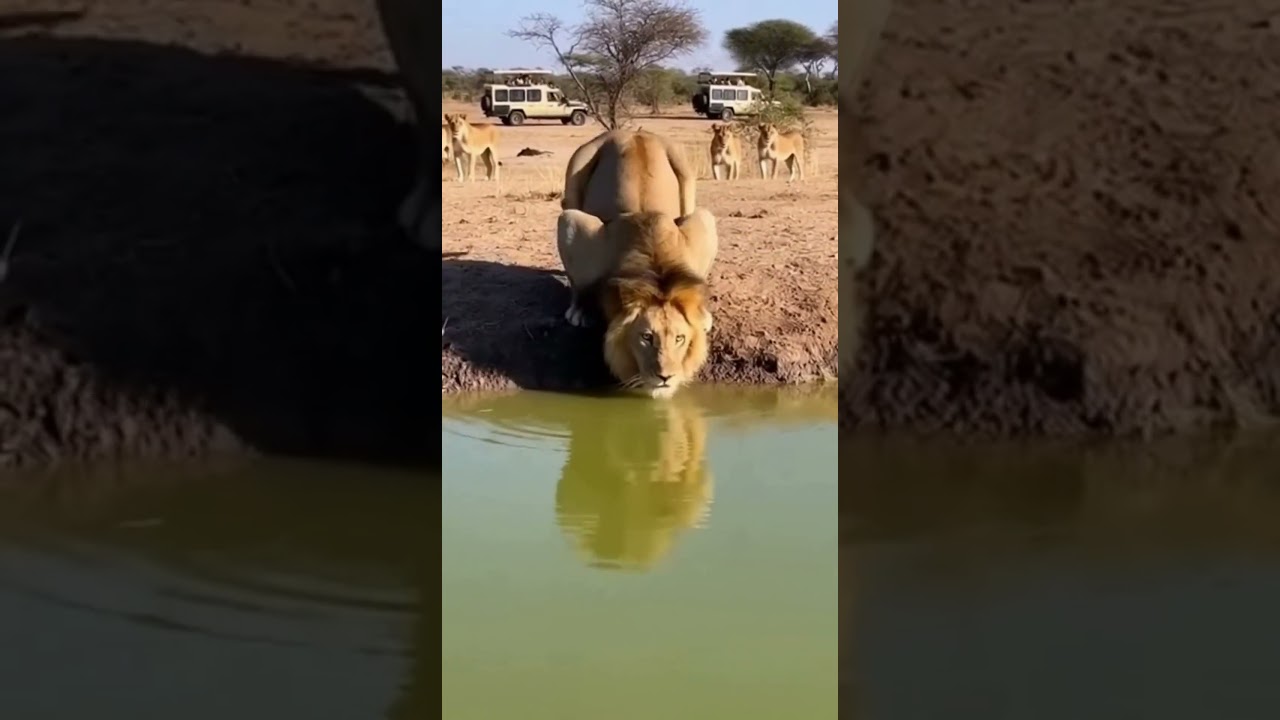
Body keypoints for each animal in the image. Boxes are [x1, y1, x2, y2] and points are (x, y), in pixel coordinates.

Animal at [556, 129, 718, 399]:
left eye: (679, 338)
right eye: (646, 337)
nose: (665, 377)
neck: (656, 267)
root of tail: (632, 131)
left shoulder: (703, 222)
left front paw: (702, 315)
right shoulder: (573, 225)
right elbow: (580, 283)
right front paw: (580, 311)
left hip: (685, 170)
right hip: (576, 168)